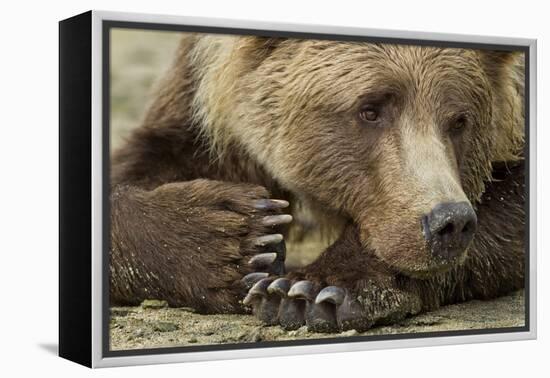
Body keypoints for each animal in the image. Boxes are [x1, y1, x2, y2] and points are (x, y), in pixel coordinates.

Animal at [109, 34, 528, 332]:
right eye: (370, 109)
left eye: (459, 121)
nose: (449, 222)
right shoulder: (198, 100)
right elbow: (145, 163)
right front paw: (237, 238)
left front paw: (312, 290)